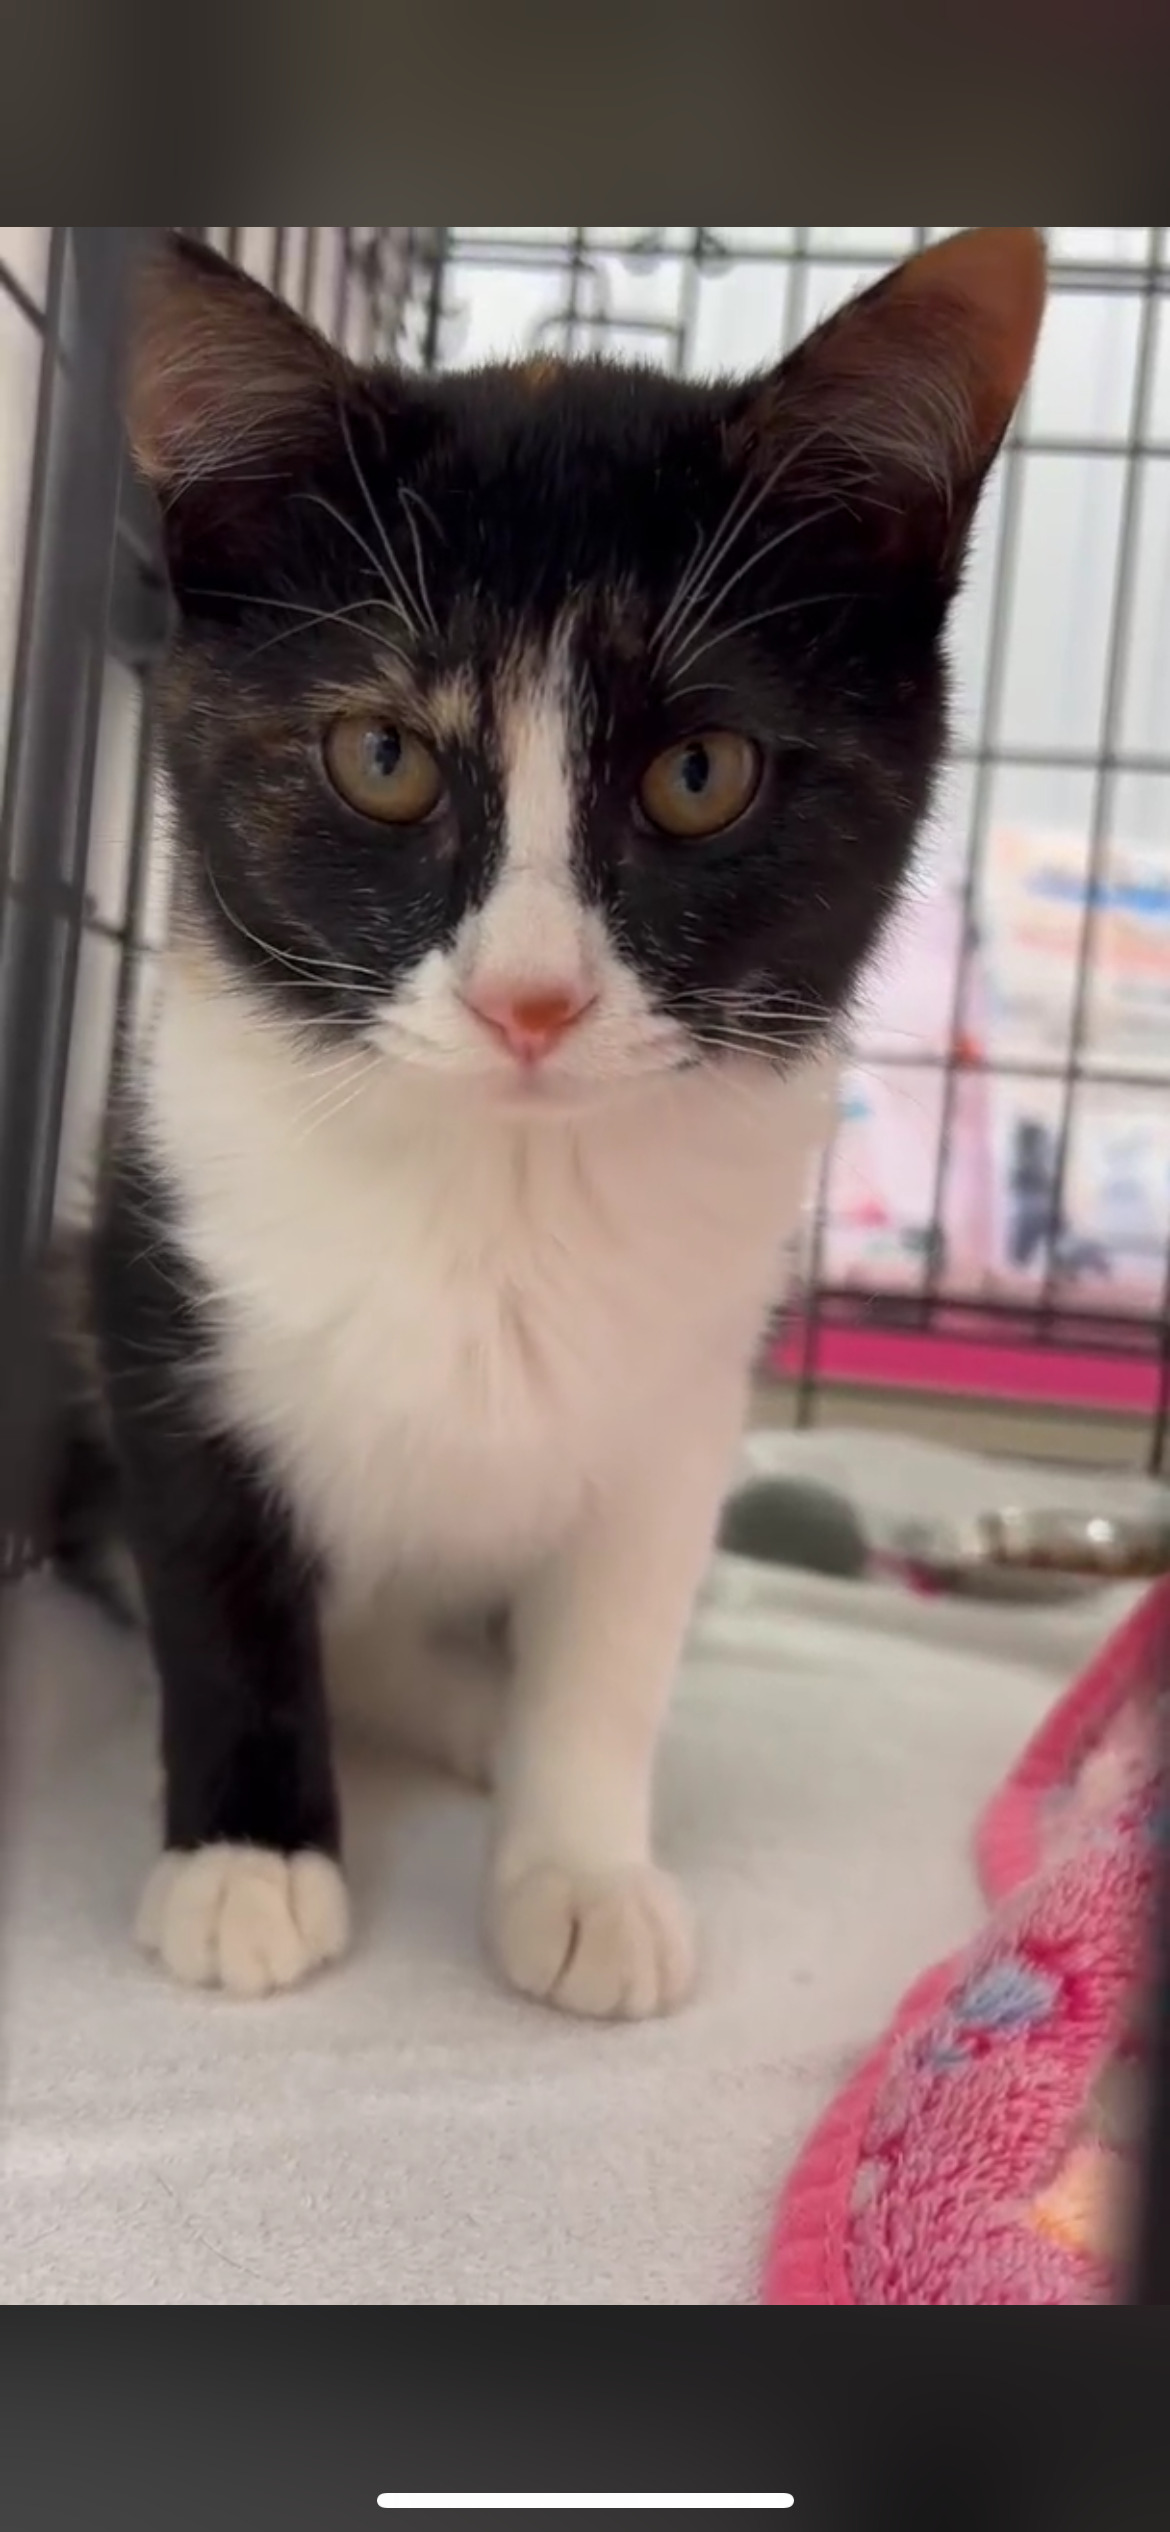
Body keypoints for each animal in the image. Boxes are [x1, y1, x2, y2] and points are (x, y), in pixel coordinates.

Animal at [54, 227, 1046, 2017]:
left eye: (700, 774)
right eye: (381, 755)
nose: (531, 998)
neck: (503, 1181)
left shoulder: (682, 1398)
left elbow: (610, 1642)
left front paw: (578, 1869)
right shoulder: (161, 1273)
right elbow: (222, 1589)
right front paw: (248, 1861)